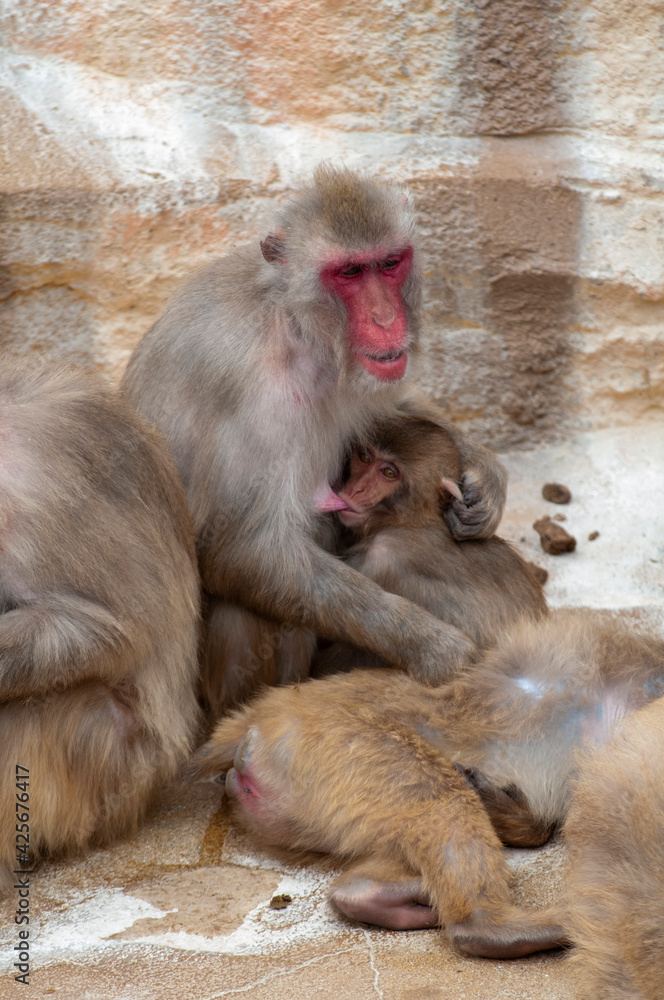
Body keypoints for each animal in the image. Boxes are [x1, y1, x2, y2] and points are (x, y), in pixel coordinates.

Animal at [122, 164, 506, 716]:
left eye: (389, 263)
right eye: (349, 273)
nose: (386, 319)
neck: (297, 323)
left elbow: (391, 408)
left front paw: (486, 475)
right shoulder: (258, 394)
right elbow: (245, 548)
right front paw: (429, 644)